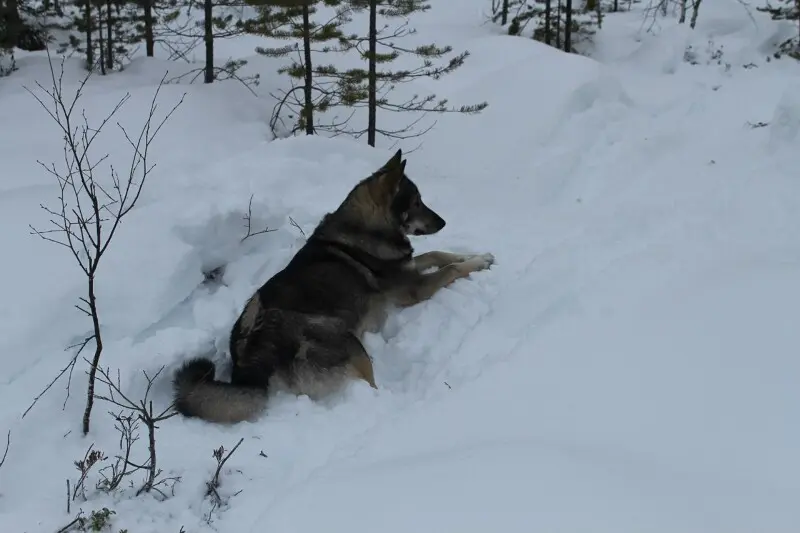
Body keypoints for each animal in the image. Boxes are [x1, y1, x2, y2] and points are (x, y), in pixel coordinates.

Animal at [172, 148, 494, 422]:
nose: (443, 222)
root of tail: (252, 360)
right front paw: (477, 262)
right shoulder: (414, 289)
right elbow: (450, 268)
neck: (367, 227)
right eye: (416, 203)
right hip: (351, 343)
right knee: (370, 387)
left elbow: (439, 254)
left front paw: (478, 255)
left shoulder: (410, 269)